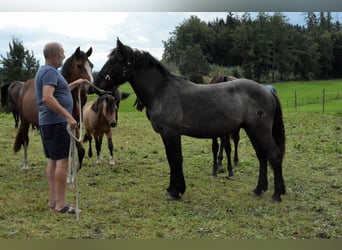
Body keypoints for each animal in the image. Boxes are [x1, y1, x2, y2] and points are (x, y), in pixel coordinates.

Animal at [94, 39, 286, 203]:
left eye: (115, 61)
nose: (96, 83)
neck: (161, 90)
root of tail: (267, 91)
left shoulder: (171, 133)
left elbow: (175, 159)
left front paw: (175, 191)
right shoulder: (167, 135)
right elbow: (171, 159)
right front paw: (173, 189)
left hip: (260, 130)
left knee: (274, 155)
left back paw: (277, 194)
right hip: (251, 130)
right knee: (262, 156)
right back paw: (259, 189)